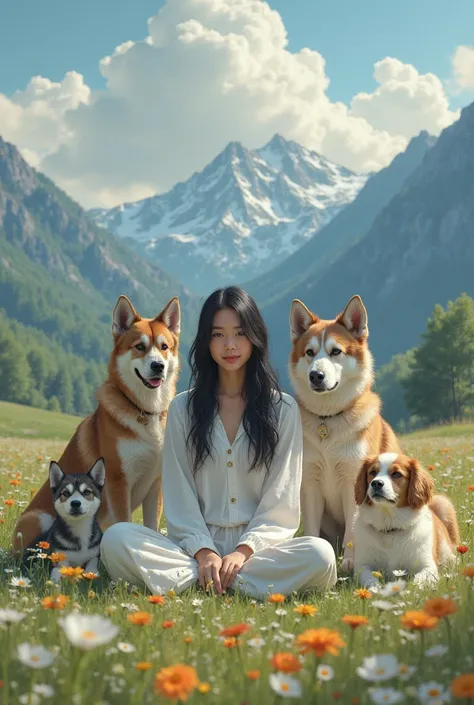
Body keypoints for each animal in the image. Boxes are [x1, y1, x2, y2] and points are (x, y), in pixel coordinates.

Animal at [12, 294, 181, 552]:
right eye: (139, 346)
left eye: (164, 347)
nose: (158, 366)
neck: (144, 411)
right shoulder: (118, 482)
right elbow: (123, 523)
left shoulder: (156, 485)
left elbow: (151, 528)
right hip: (37, 518)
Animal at [288, 294, 400, 568]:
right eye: (309, 353)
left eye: (335, 351)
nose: (316, 375)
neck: (328, 420)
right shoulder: (311, 483)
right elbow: (312, 528)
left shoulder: (354, 482)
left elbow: (352, 529)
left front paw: (349, 562)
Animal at [352, 452, 460, 588]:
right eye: (372, 472)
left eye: (396, 474)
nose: (376, 483)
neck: (389, 526)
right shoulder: (362, 566)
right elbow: (371, 581)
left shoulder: (428, 567)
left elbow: (417, 582)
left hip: (442, 502)